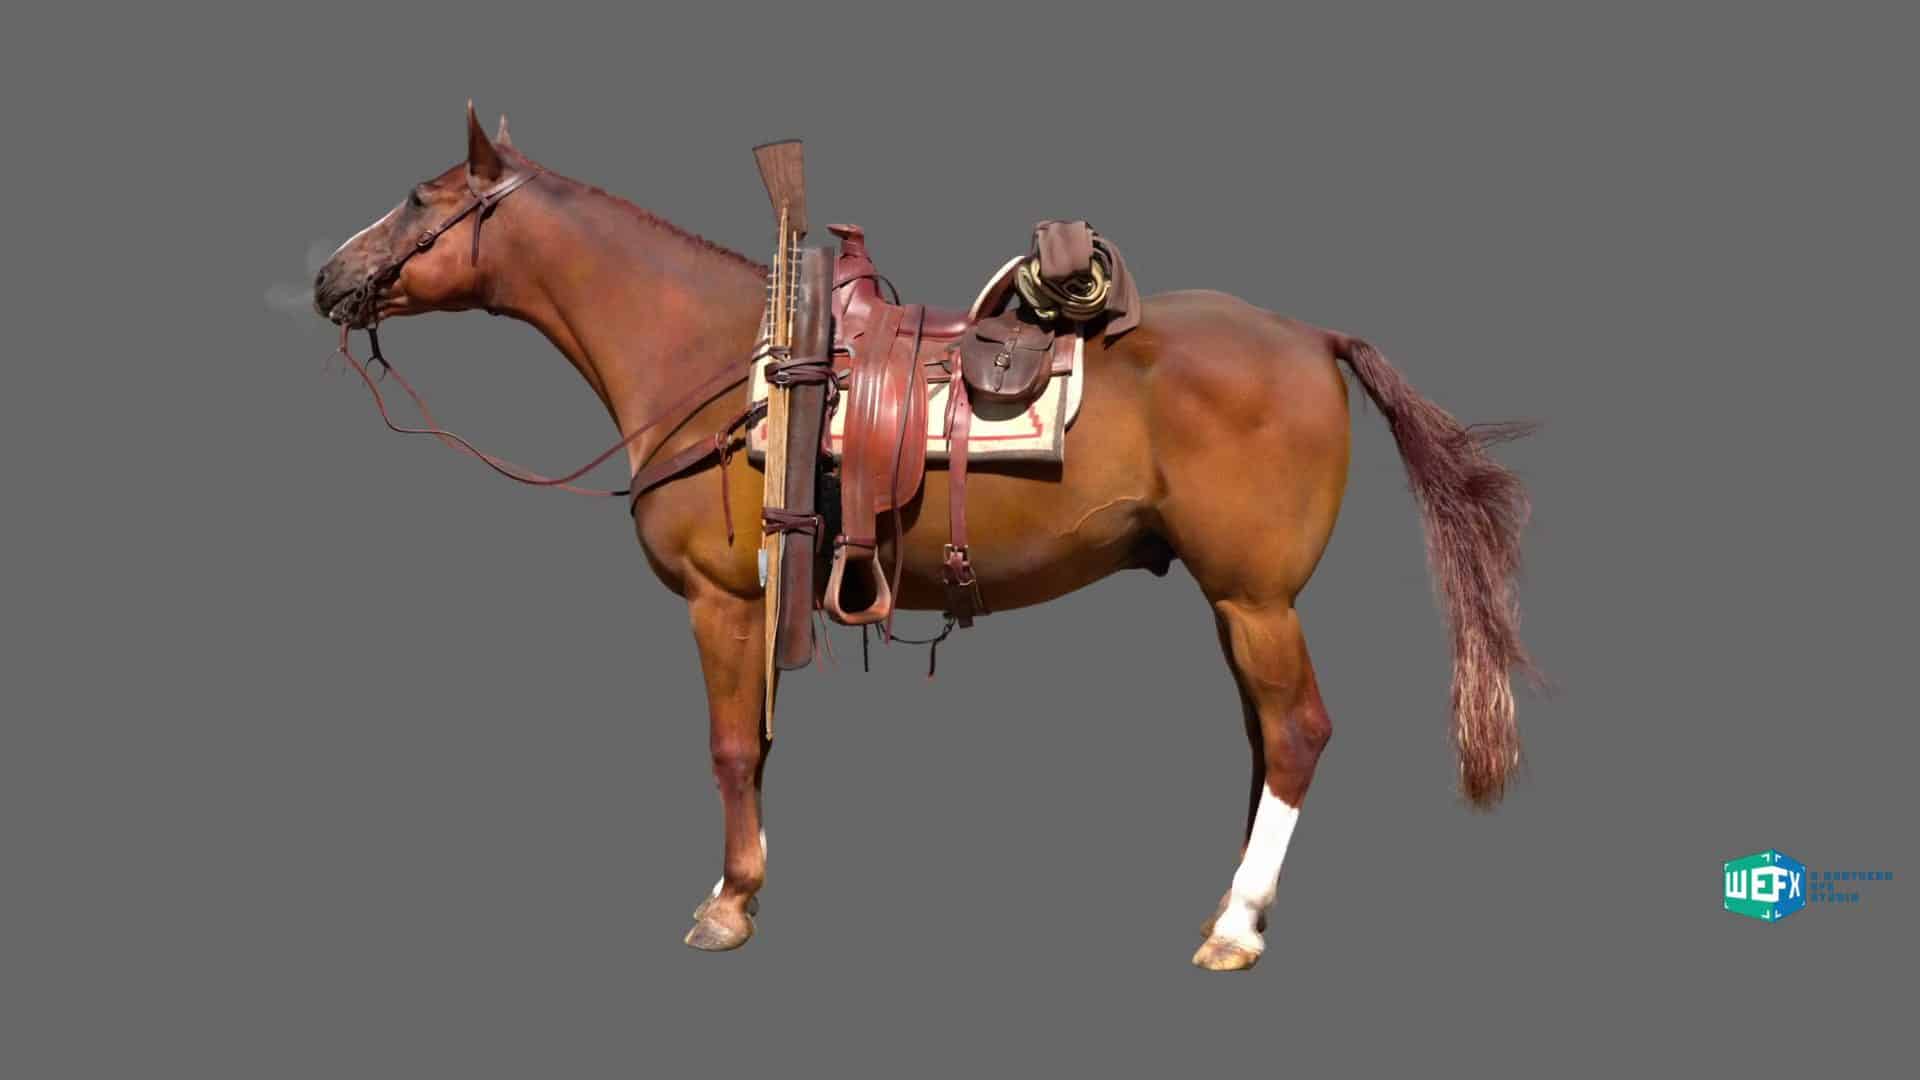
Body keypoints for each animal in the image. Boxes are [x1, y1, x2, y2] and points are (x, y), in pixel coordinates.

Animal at [312, 105, 1538, 971]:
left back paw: (1236, 925)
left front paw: (727, 905)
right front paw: (749, 888)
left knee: (1298, 735)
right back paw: (1248, 902)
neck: (736, 363)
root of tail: (1313, 336)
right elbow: (758, 749)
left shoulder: (724, 603)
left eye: (418, 197)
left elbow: (728, 750)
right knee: (1265, 740)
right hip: (1241, 606)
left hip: (1256, 597)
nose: (328, 276)